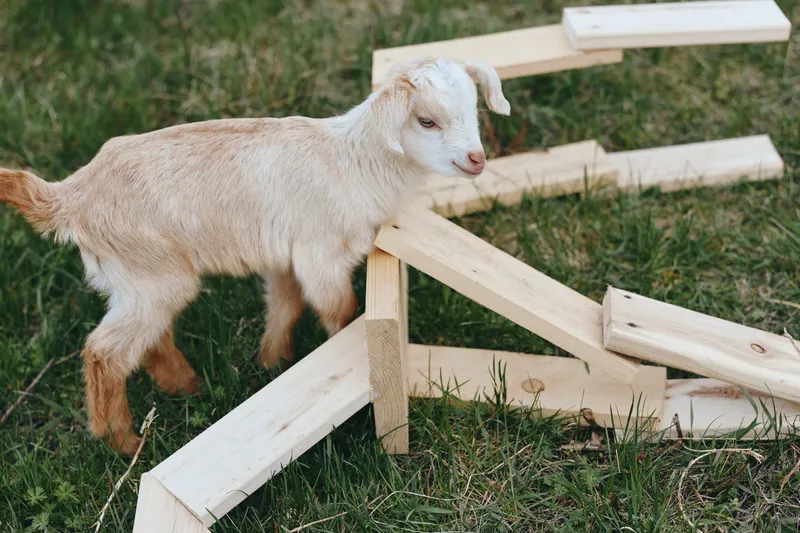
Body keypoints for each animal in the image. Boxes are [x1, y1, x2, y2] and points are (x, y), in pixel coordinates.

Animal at [0, 57, 510, 454]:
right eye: (426, 121)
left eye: (473, 110)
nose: (476, 160)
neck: (354, 162)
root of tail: (69, 196)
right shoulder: (320, 255)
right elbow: (339, 311)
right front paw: (341, 357)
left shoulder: (284, 257)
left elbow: (285, 306)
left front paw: (273, 361)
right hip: (151, 272)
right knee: (104, 353)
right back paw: (121, 441)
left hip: (139, 280)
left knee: (149, 339)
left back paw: (186, 387)